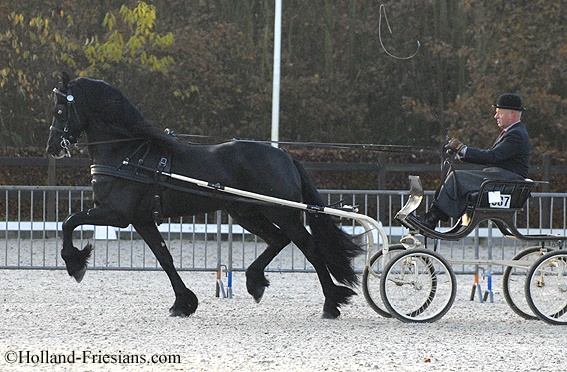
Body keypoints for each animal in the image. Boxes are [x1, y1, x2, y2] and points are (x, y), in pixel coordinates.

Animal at [46, 74, 362, 318]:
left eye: (60, 111)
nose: (52, 148)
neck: (128, 153)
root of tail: (284, 155)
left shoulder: (117, 214)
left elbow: (69, 221)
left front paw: (74, 262)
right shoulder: (141, 220)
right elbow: (164, 257)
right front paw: (183, 303)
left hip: (282, 213)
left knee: (309, 248)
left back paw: (331, 304)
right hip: (246, 213)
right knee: (278, 239)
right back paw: (255, 282)